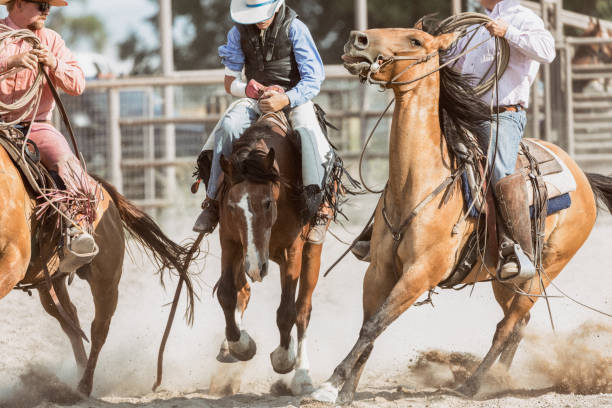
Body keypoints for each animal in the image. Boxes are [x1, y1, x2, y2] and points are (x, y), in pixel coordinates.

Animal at [0, 143, 194, 396]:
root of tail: (103, 191)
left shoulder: (13, 260)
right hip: (50, 282)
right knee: (71, 321)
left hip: (107, 282)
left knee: (99, 328)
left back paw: (84, 385)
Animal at [215, 114, 330, 396]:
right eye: (232, 206)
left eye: (267, 203)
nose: (257, 268)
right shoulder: (230, 241)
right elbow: (226, 293)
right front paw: (240, 344)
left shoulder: (293, 250)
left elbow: (287, 311)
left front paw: (283, 358)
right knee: (243, 289)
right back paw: (228, 346)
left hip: (310, 253)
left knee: (302, 309)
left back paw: (302, 375)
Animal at [310, 27, 612, 404]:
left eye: (415, 41)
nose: (358, 38)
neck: (419, 181)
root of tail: (583, 176)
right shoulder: (380, 270)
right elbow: (371, 327)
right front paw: (347, 391)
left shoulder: (420, 273)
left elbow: (374, 325)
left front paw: (331, 383)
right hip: (505, 279)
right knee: (518, 325)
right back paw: (499, 379)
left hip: (547, 269)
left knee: (507, 326)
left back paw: (474, 384)